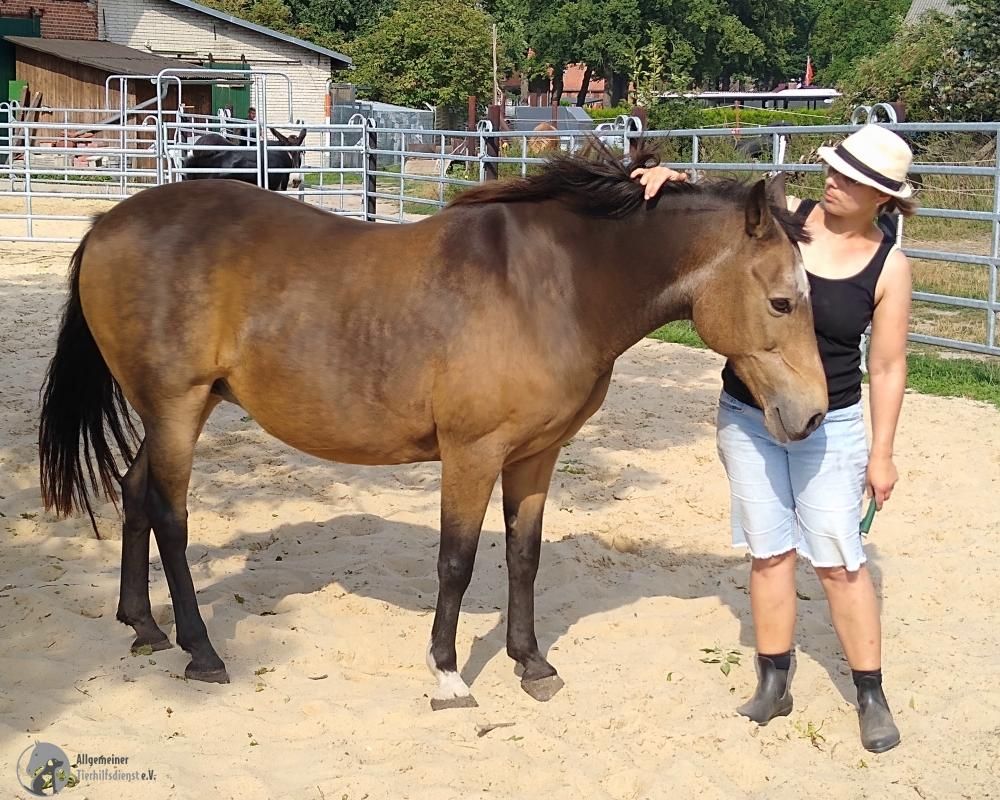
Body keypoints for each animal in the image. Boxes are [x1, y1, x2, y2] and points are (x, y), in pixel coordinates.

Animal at [38, 147, 827, 709]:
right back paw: (201, 651)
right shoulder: (471, 454)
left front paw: (531, 663)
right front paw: (448, 675)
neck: (555, 285)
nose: (813, 413)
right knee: (169, 516)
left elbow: (522, 559)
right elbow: (457, 561)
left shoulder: (537, 456)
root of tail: (108, 223)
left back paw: (143, 626)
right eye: (782, 302)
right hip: (178, 409)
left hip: (177, 410)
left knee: (134, 492)